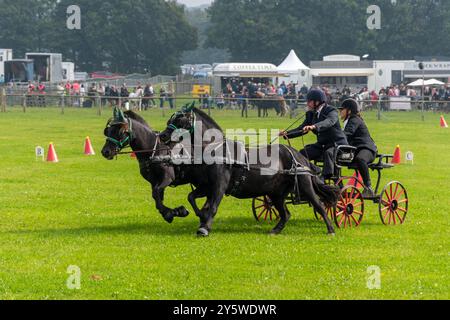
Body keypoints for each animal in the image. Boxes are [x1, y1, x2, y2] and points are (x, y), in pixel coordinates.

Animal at [160, 106, 340, 236]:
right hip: (276, 193)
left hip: (304, 186)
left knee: (319, 205)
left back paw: (330, 229)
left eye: (180, 120)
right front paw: (198, 216)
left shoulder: (219, 185)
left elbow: (213, 206)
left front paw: (204, 227)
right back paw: (275, 230)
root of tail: (297, 155)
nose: (162, 136)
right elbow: (192, 198)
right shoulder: (207, 186)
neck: (216, 150)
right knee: (285, 214)